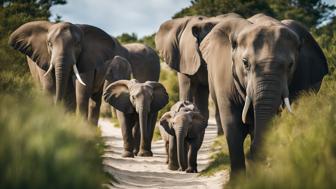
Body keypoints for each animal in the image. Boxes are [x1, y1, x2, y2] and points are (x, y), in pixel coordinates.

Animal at [8, 21, 160, 125]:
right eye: (49, 44)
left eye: (77, 45)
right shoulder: (42, 56)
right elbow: (49, 88)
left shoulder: (88, 59)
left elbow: (82, 89)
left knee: (94, 100)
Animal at [192, 13, 328, 176]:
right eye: (245, 63)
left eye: (290, 65)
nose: (252, 155)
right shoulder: (224, 78)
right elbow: (232, 126)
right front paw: (238, 180)